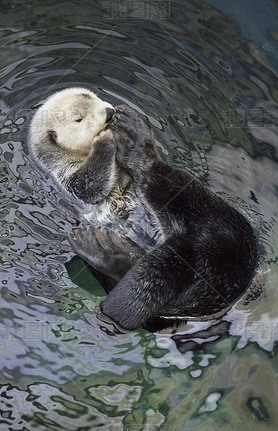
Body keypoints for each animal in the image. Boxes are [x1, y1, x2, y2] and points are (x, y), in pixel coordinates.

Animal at [28, 87, 258, 330]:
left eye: (94, 97)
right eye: (78, 119)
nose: (109, 113)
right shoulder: (65, 177)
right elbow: (90, 185)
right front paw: (104, 140)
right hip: (213, 215)